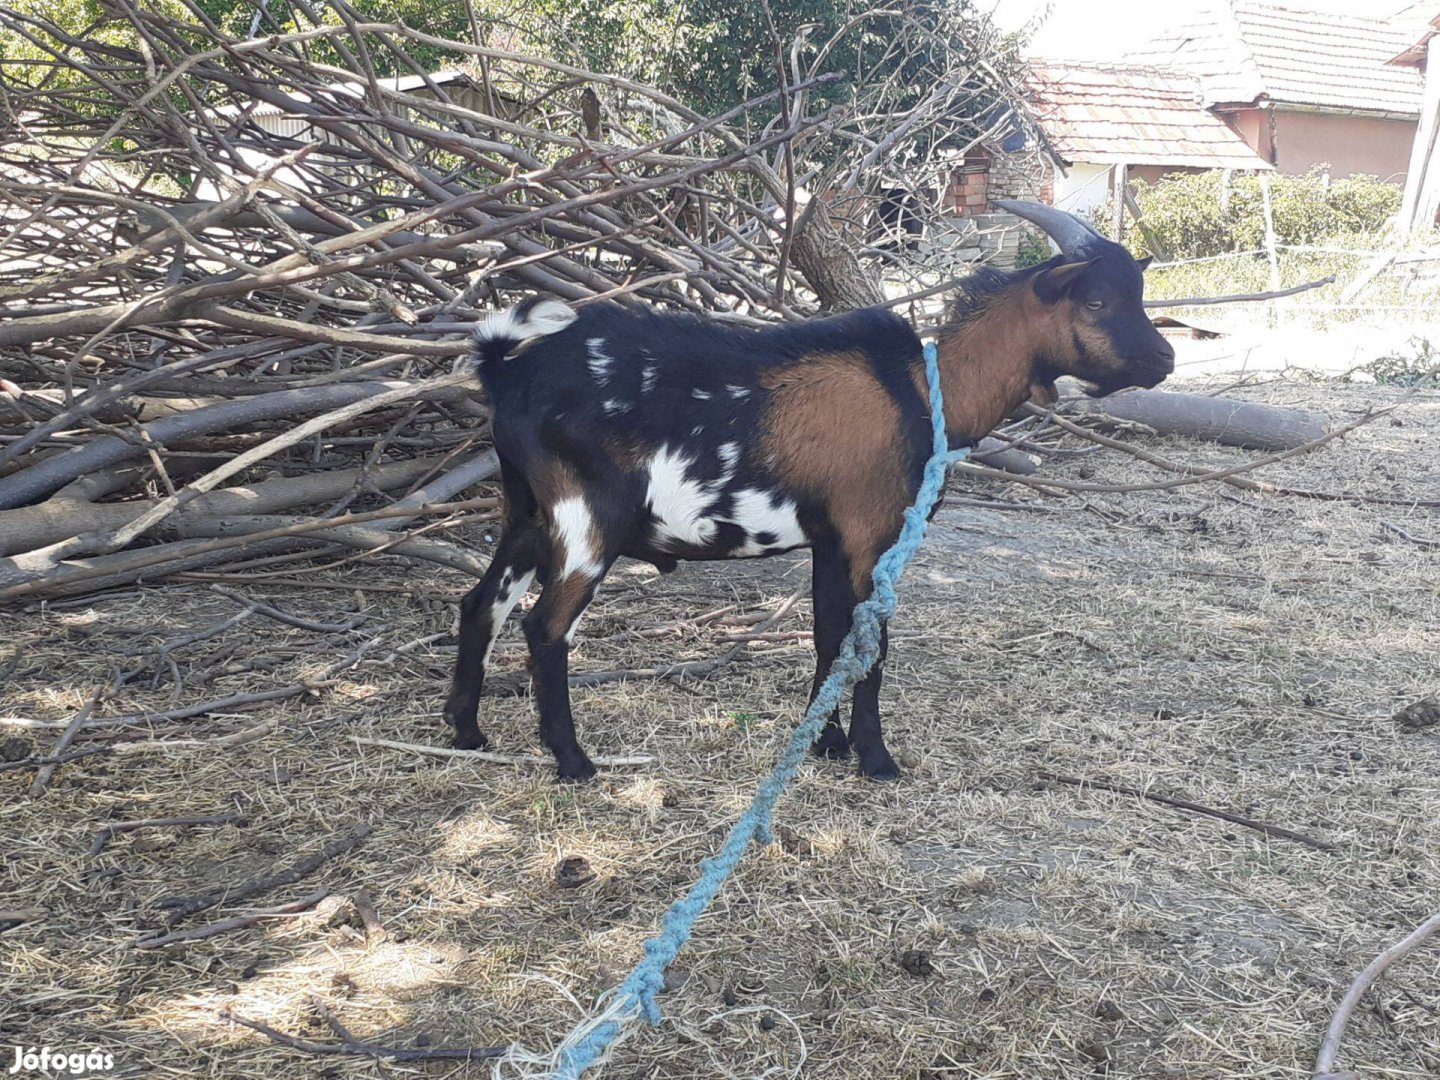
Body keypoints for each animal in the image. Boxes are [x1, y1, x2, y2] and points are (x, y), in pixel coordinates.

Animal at [443, 201, 1175, 777]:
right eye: (1098, 300)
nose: (1165, 359)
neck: (923, 390)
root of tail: (506, 372)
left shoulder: (832, 539)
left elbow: (828, 637)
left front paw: (823, 744)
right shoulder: (875, 535)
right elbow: (869, 646)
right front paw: (876, 759)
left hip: (526, 513)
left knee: (480, 605)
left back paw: (467, 732)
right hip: (587, 522)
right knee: (544, 626)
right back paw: (573, 761)